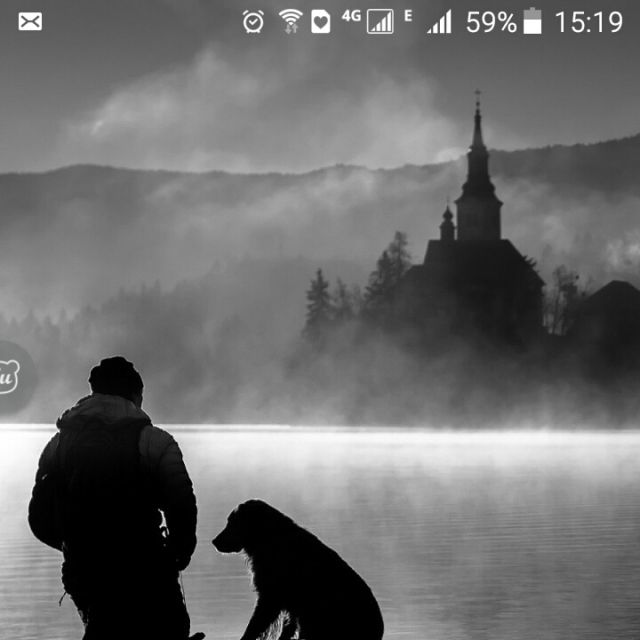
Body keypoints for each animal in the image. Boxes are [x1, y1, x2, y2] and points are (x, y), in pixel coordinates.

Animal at [212, 500, 384, 640]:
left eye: (232, 523)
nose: (214, 541)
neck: (270, 539)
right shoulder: (290, 606)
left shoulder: (270, 598)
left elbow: (254, 627)